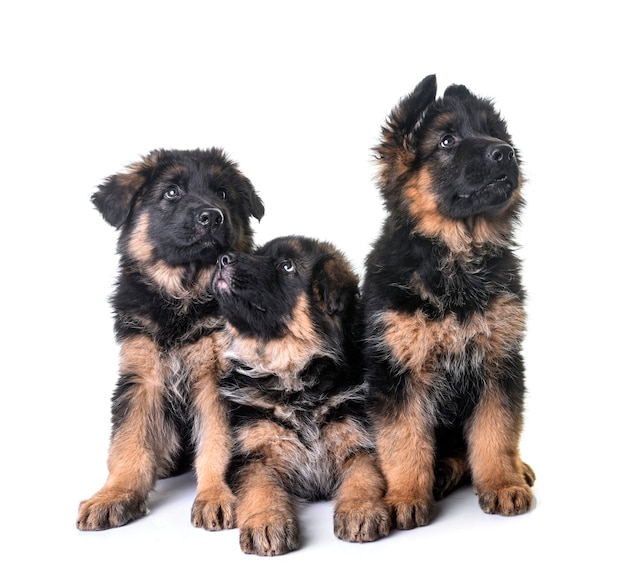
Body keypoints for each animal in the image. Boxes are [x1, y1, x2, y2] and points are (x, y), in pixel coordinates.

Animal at [75, 147, 264, 528]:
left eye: (223, 194)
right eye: (171, 193)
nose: (212, 217)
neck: (183, 295)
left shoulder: (215, 379)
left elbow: (218, 442)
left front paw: (215, 494)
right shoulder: (140, 377)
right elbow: (127, 442)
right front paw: (115, 494)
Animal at [213, 235, 390, 556]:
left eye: (287, 266)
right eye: (258, 255)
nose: (222, 259)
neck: (293, 376)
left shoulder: (359, 440)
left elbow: (364, 476)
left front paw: (361, 509)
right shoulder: (253, 454)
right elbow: (260, 488)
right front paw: (266, 522)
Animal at [360, 75, 532, 528]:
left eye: (494, 131)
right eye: (447, 141)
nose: (505, 152)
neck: (457, 257)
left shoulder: (499, 361)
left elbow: (497, 432)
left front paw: (502, 483)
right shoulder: (397, 369)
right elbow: (403, 439)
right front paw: (405, 495)